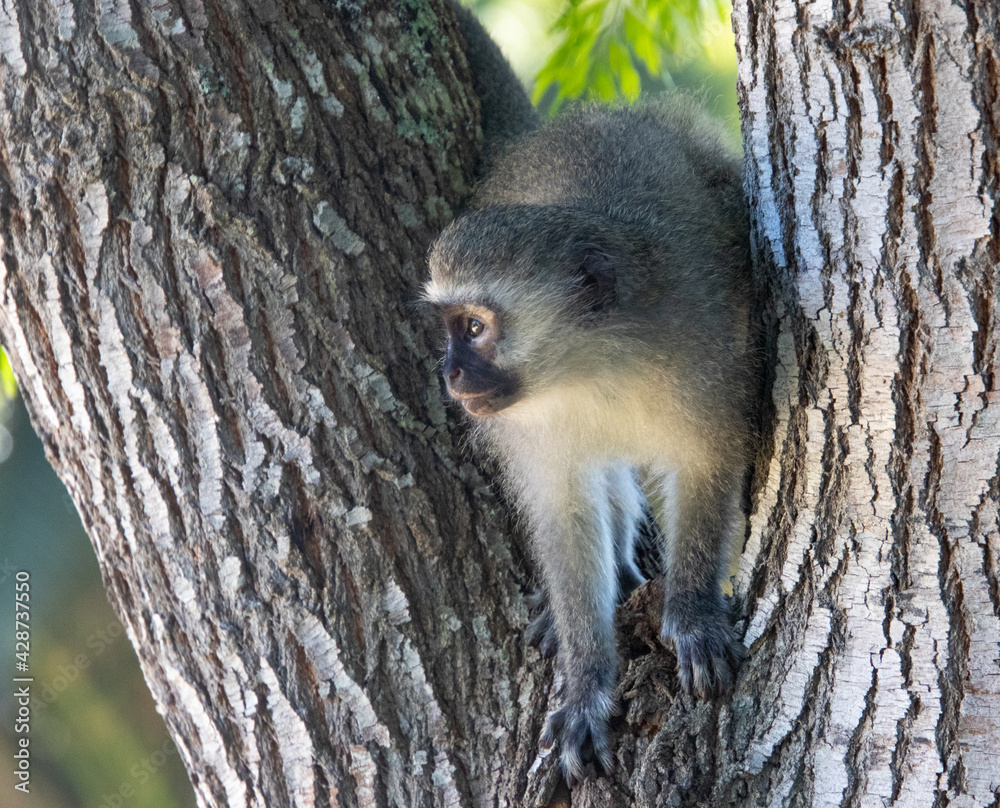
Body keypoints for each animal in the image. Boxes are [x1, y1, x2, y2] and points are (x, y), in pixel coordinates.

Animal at [423, 98, 755, 783]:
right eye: (449, 329)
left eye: (475, 328)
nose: (450, 374)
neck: (591, 368)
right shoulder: (527, 425)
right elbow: (565, 511)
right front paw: (585, 690)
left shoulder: (703, 340)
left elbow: (705, 460)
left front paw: (693, 613)